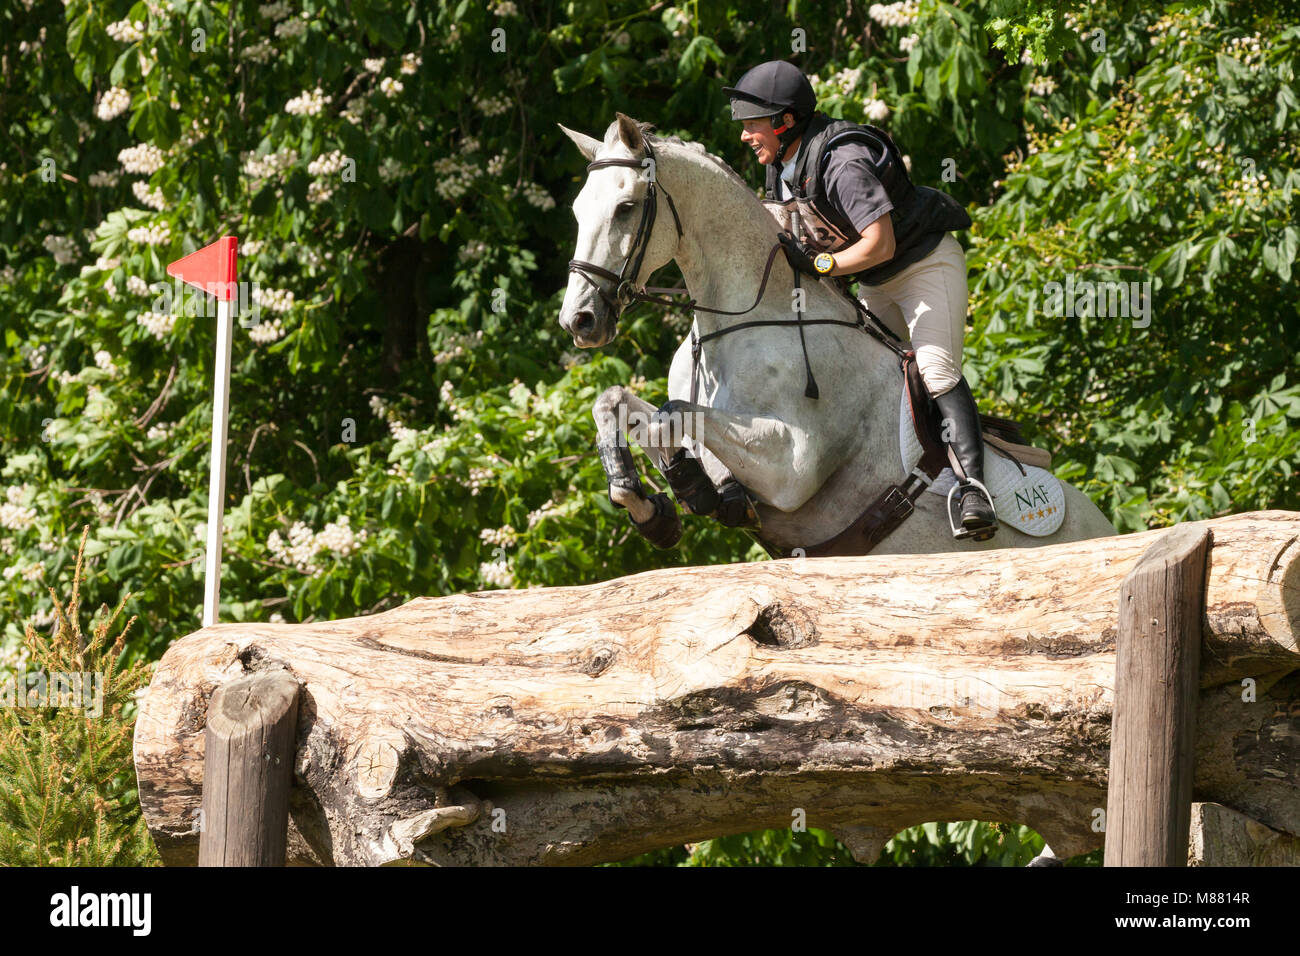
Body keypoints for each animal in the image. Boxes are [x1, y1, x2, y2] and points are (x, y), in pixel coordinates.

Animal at [553, 113, 1112, 561]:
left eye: (626, 208)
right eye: (578, 211)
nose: (579, 321)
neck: (742, 319)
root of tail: (1105, 526)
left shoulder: (791, 467)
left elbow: (671, 415)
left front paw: (681, 492)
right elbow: (620, 404)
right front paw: (648, 505)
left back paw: (976, 508)